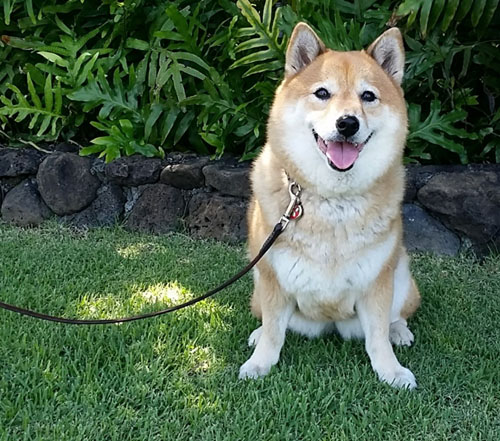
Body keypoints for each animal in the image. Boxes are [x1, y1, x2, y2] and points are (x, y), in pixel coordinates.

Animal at [240, 23, 420, 388]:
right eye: (322, 93)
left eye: (368, 96)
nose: (347, 123)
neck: (332, 200)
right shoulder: (272, 278)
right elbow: (274, 333)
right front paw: (260, 363)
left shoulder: (377, 282)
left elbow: (377, 336)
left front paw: (391, 371)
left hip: (401, 274)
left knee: (396, 316)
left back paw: (400, 331)